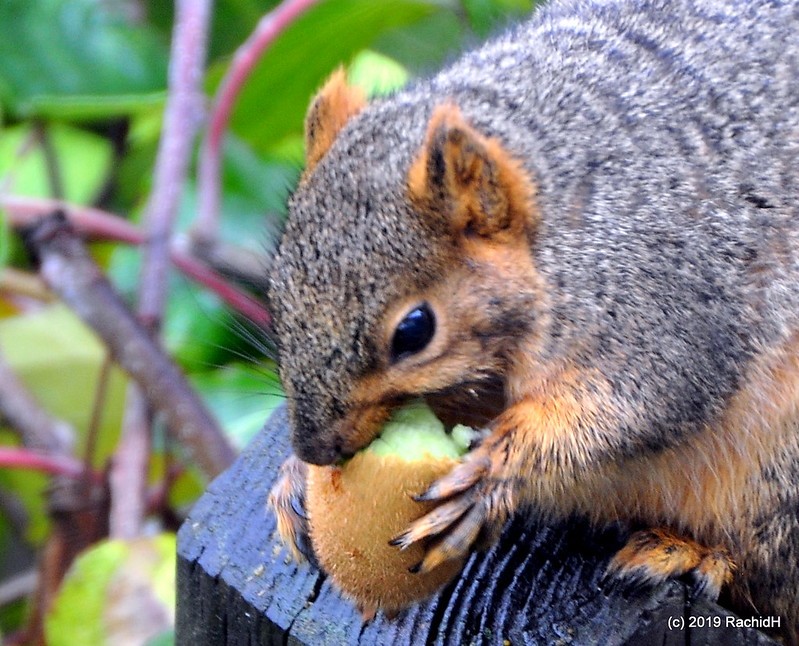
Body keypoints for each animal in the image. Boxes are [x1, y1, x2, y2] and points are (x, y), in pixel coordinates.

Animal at [267, 0, 799, 641]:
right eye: (277, 286)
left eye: (415, 331)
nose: (317, 449)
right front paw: (292, 478)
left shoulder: (670, 307)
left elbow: (628, 408)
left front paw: (494, 473)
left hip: (777, 484)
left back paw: (691, 555)